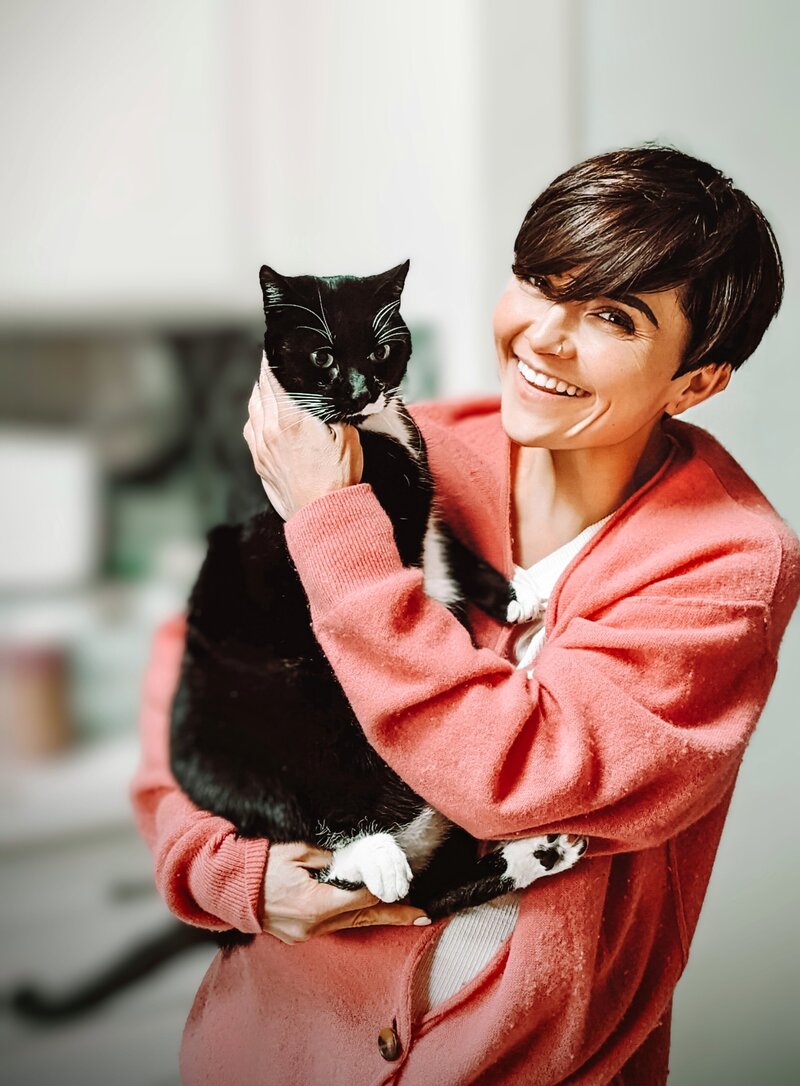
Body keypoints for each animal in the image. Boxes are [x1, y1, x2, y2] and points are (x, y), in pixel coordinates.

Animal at [170, 262, 581, 942]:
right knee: (315, 830)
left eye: (382, 350)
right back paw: (377, 854)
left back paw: (542, 851)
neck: (376, 433)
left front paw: (515, 591)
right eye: (323, 355)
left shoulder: (423, 495)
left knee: (430, 893)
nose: (363, 390)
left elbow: (446, 542)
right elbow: (415, 564)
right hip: (258, 723)